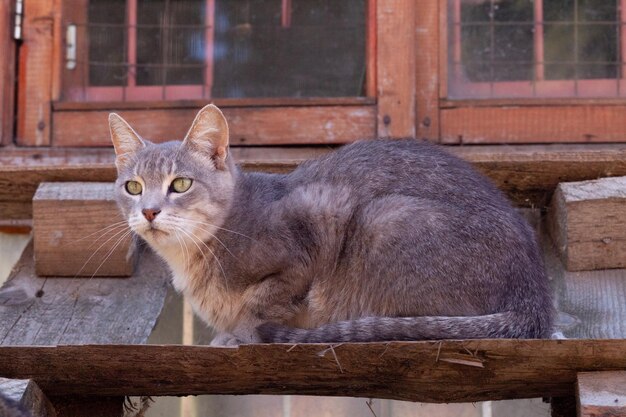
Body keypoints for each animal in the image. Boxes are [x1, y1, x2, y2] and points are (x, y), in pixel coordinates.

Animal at [108, 104, 552, 344]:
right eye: (133, 186)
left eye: (180, 184)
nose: (149, 211)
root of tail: (535, 296)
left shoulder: (317, 217)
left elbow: (263, 302)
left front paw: (240, 332)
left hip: (383, 219)